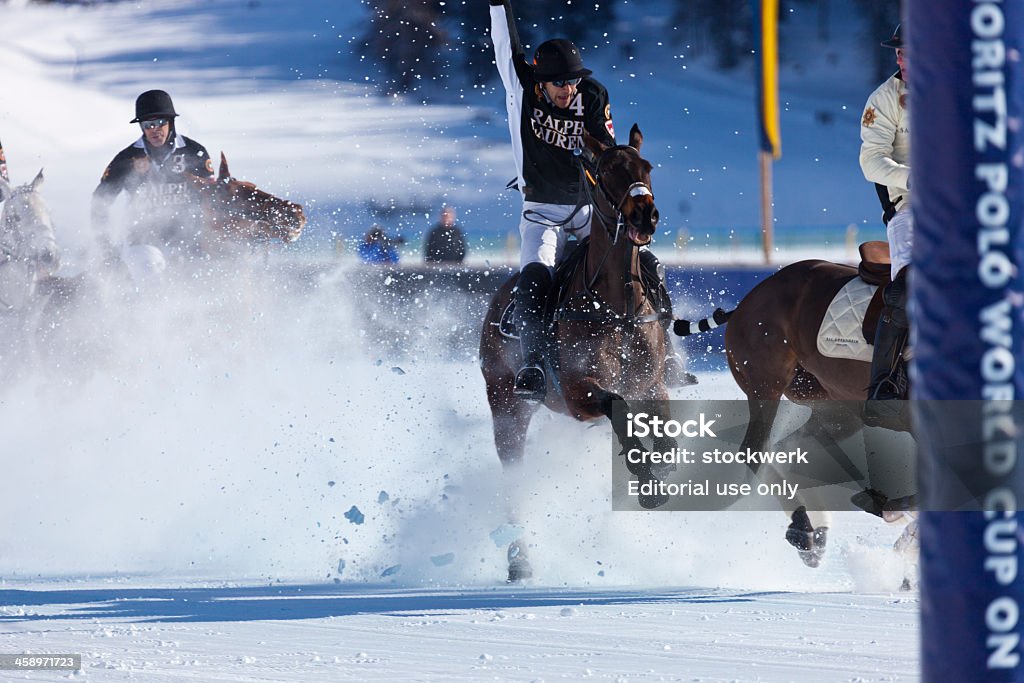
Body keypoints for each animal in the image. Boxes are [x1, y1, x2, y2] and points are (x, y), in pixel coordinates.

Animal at [481, 122, 675, 581]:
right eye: (605, 172)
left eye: (647, 167)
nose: (645, 214)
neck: (618, 306)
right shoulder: (576, 391)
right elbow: (618, 406)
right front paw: (647, 481)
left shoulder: (653, 386)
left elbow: (664, 430)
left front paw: (664, 466)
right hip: (507, 406)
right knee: (512, 479)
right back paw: (519, 563)